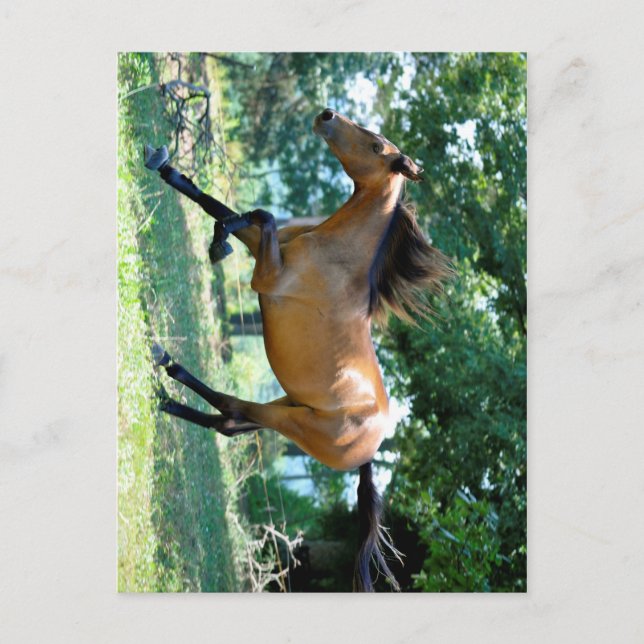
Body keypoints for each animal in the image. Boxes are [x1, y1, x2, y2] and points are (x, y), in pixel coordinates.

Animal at [144, 108, 452, 591]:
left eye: (377, 146)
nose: (327, 115)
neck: (336, 255)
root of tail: (372, 449)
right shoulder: (265, 251)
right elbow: (220, 205)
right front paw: (166, 167)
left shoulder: (265, 277)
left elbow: (260, 216)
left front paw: (218, 242)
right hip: (288, 407)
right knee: (232, 423)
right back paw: (167, 397)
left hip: (292, 420)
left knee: (232, 409)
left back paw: (166, 364)